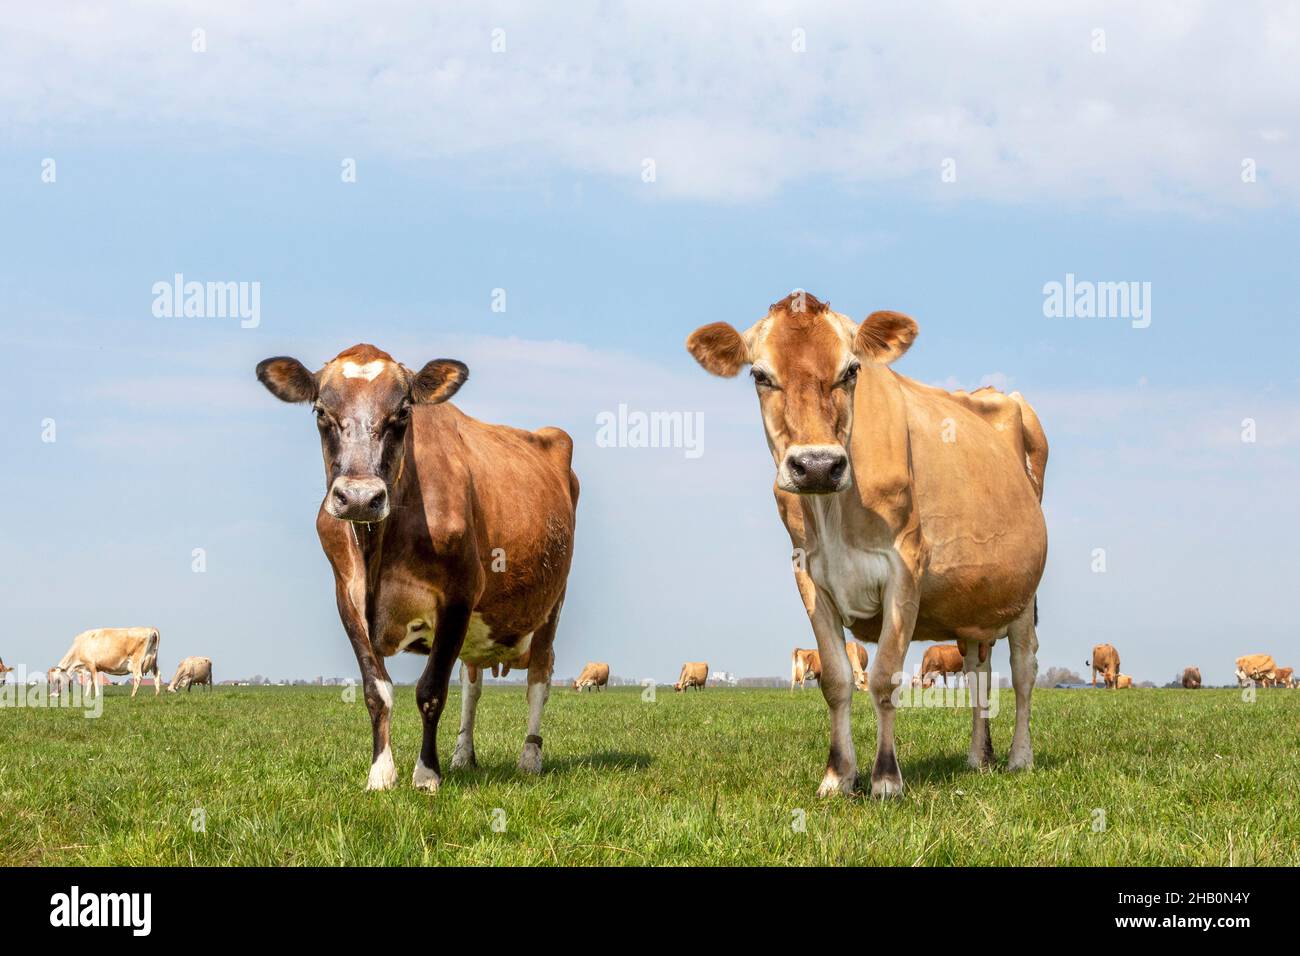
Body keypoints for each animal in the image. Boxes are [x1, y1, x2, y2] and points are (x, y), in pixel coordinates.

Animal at [256, 343, 577, 790]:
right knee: (472, 685)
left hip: (551, 606)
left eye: (404, 411)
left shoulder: (459, 595)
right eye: (321, 411)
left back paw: (529, 757)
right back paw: (462, 754)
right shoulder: (346, 598)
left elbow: (430, 691)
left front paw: (426, 775)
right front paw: (380, 773)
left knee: (539, 680)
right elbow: (377, 691)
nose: (360, 497)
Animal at [691, 291, 1045, 801]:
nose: (817, 466)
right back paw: (979, 758)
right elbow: (837, 680)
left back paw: (1019, 757)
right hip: (976, 603)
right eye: (759, 375)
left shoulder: (906, 568)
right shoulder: (808, 575)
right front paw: (838, 775)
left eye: (851, 369)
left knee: (1022, 670)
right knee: (980, 671)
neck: (835, 512)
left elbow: (883, 679)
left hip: (1024, 594)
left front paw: (886, 778)